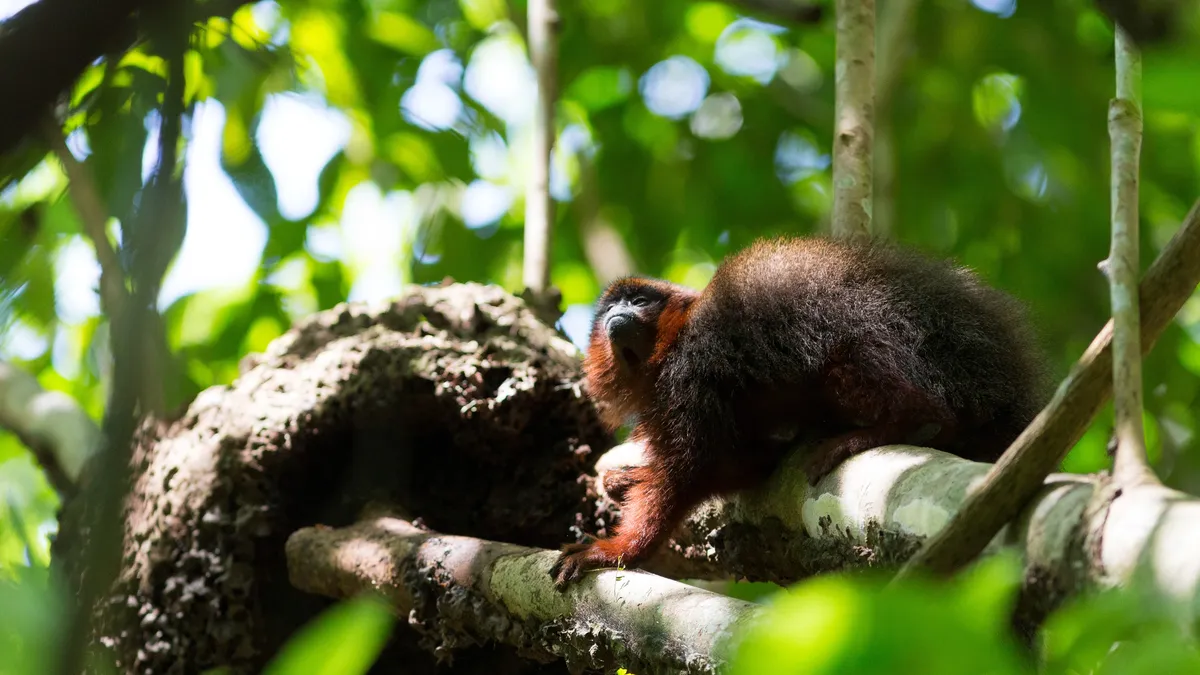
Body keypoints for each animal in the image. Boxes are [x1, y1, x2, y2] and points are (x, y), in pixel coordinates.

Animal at [550, 236, 1051, 588]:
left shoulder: (691, 374)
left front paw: (618, 550)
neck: (668, 348)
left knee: (853, 355)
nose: (617, 312)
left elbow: (692, 469)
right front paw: (623, 480)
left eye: (638, 301)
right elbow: (745, 463)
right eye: (611, 306)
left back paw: (904, 424)